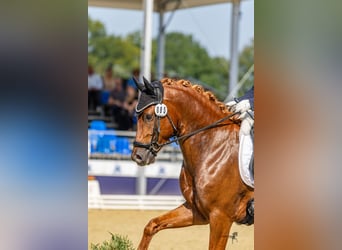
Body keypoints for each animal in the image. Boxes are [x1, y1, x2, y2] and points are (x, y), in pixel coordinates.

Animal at [131, 77, 254, 249]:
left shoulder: (221, 217)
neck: (213, 145)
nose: (137, 156)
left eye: (148, 116)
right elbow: (152, 225)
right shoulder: (197, 211)